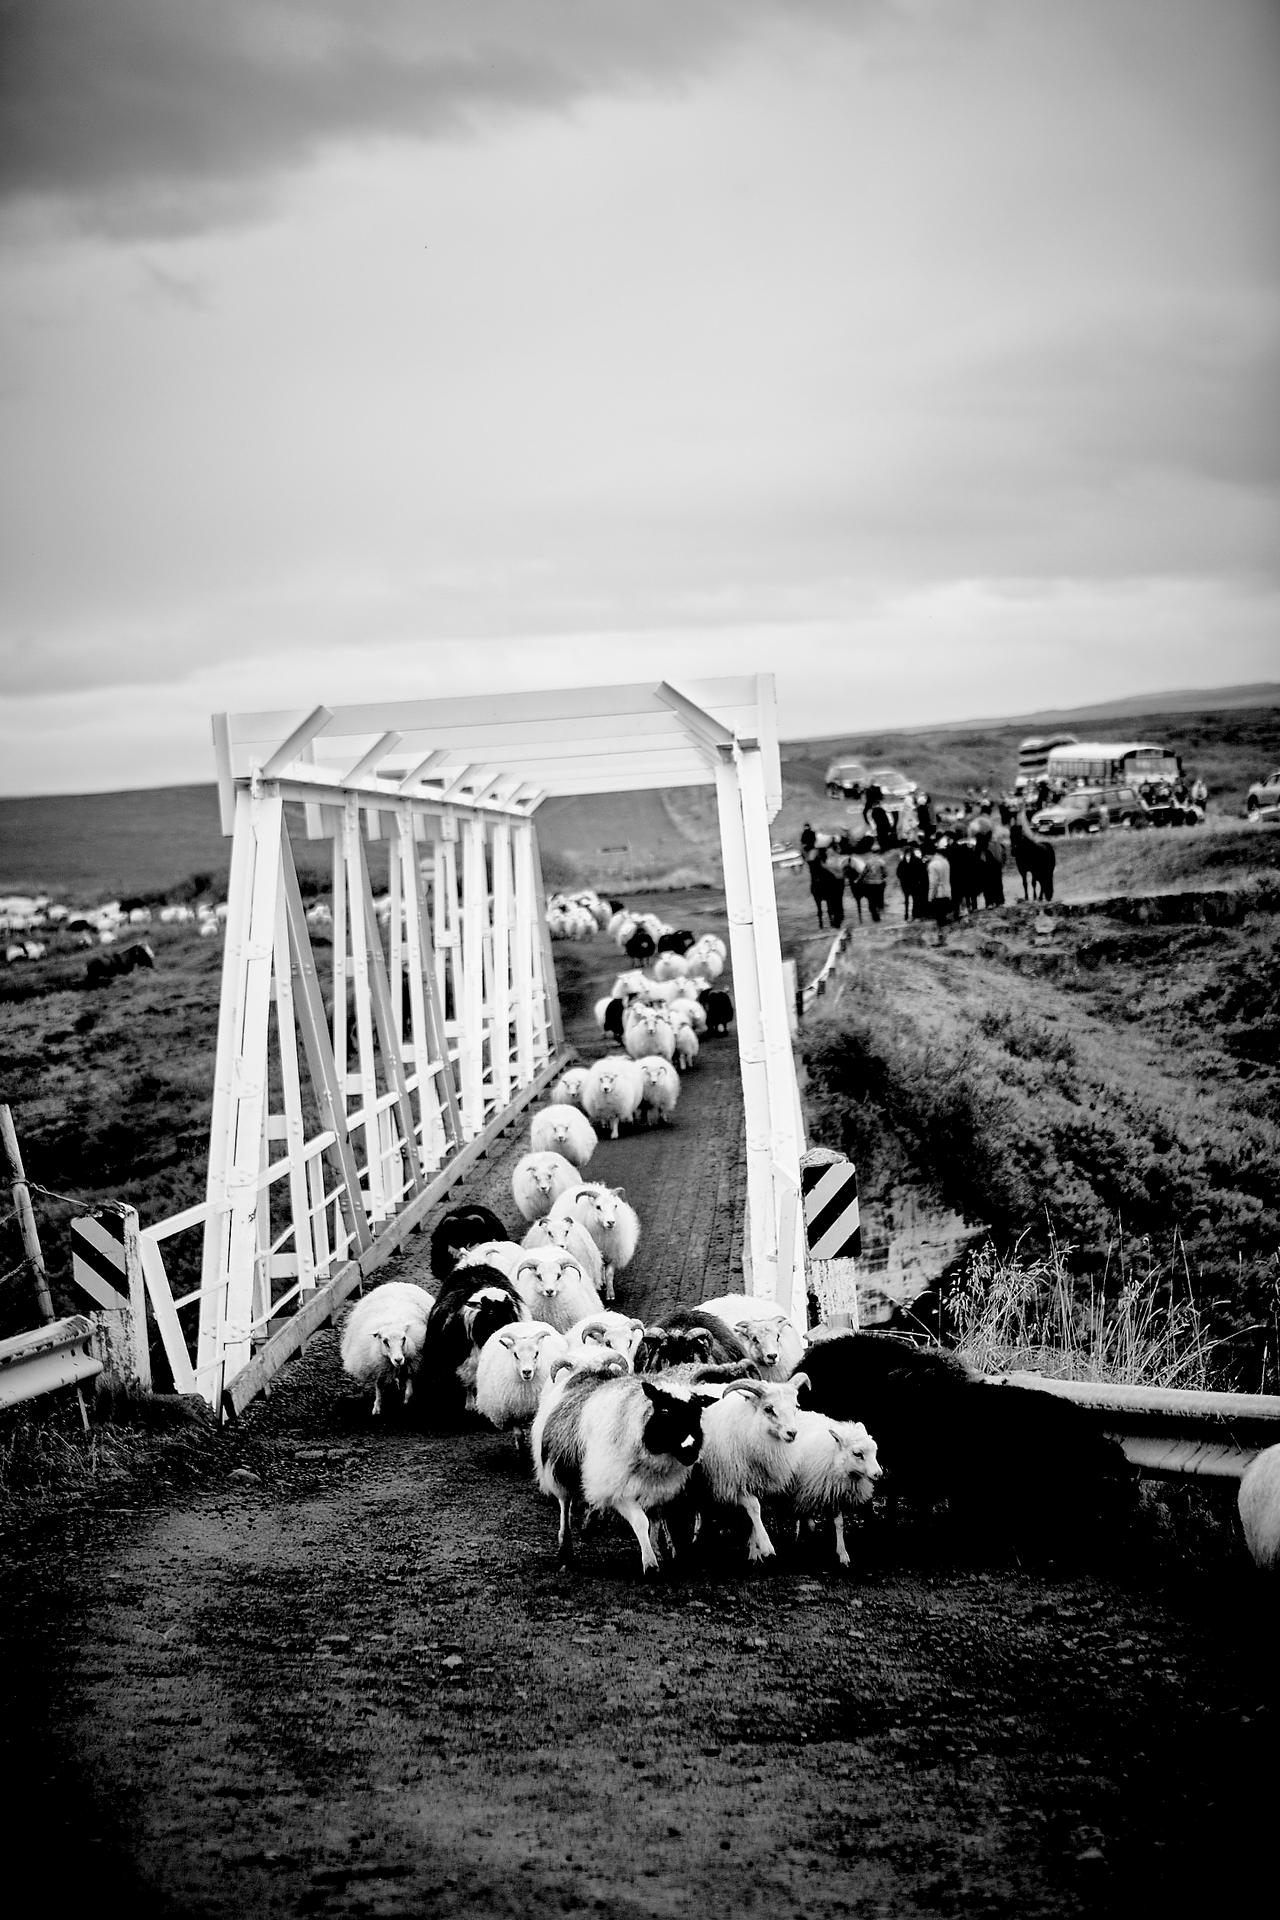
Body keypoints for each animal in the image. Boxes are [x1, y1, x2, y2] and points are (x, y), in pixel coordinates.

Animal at [339, 1282, 435, 1420]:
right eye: (385, 1341)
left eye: (404, 1338)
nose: (398, 1359)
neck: (391, 1322)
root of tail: (396, 1283)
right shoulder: (378, 1366)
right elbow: (379, 1386)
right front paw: (377, 1407)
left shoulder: (412, 1360)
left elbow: (409, 1386)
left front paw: (406, 1402)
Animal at [529, 1367, 710, 1574]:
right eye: (665, 1411)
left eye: (697, 1414)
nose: (691, 1450)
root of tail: (587, 1372)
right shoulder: (618, 1490)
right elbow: (641, 1522)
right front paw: (650, 1564)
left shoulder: (657, 1490)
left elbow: (655, 1523)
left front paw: (656, 1552)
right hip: (560, 1470)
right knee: (565, 1505)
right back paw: (565, 1551)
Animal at [782, 1405, 882, 1566]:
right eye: (857, 1454)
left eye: (875, 1451)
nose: (878, 1474)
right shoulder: (804, 1490)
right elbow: (803, 1514)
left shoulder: (836, 1494)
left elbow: (839, 1524)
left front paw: (842, 1553)